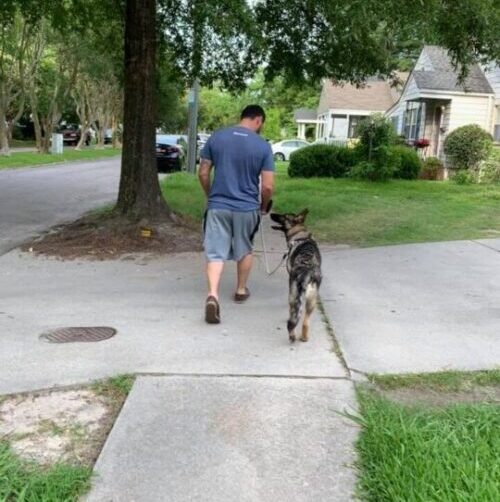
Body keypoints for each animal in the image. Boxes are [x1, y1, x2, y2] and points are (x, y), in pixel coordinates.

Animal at [272, 208, 322, 342]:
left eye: (284, 216)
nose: (271, 214)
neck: (300, 233)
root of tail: (306, 270)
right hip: (312, 299)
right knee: (305, 321)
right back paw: (304, 337)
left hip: (293, 294)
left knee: (292, 320)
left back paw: (292, 335)